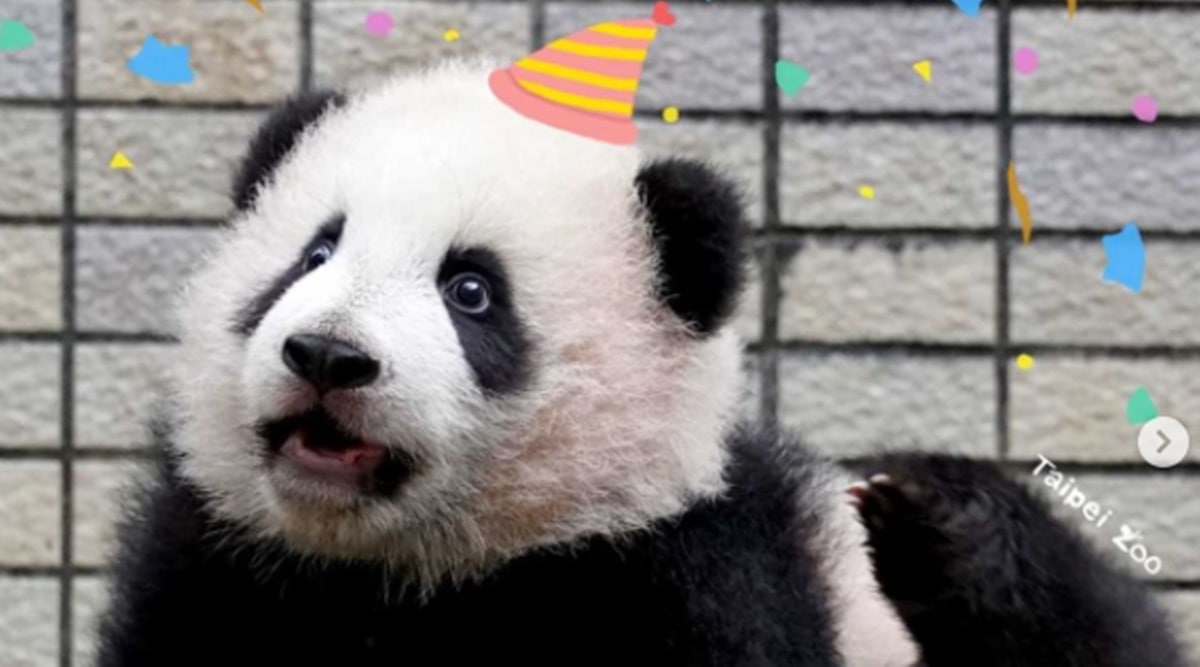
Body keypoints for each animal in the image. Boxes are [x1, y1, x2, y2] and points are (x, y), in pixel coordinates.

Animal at [95, 60, 1187, 667]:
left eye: (471, 290)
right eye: (315, 254)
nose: (327, 354)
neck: (404, 569)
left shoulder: (677, 573)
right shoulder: (221, 562)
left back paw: (942, 518)